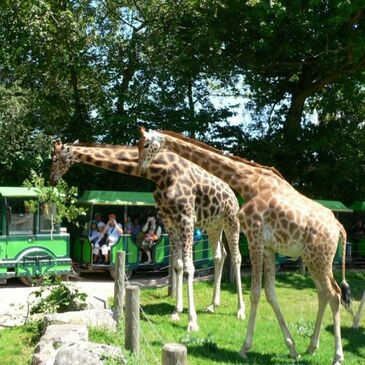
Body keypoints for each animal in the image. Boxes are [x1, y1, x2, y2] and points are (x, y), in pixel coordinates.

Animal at [49, 139, 243, 330]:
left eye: (55, 158)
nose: (52, 180)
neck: (160, 172)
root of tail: (233, 194)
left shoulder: (186, 217)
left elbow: (189, 267)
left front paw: (192, 322)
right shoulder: (170, 220)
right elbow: (178, 265)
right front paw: (176, 312)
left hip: (231, 219)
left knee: (236, 257)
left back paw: (240, 311)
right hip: (213, 225)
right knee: (220, 255)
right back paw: (212, 305)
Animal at [136, 128, 350, 364]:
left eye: (146, 144)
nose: (140, 168)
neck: (249, 183)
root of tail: (339, 227)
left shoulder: (254, 236)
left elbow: (256, 293)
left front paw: (244, 347)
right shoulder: (268, 246)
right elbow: (270, 293)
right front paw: (292, 348)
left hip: (317, 257)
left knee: (334, 295)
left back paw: (337, 356)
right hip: (315, 259)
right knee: (324, 293)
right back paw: (312, 347)